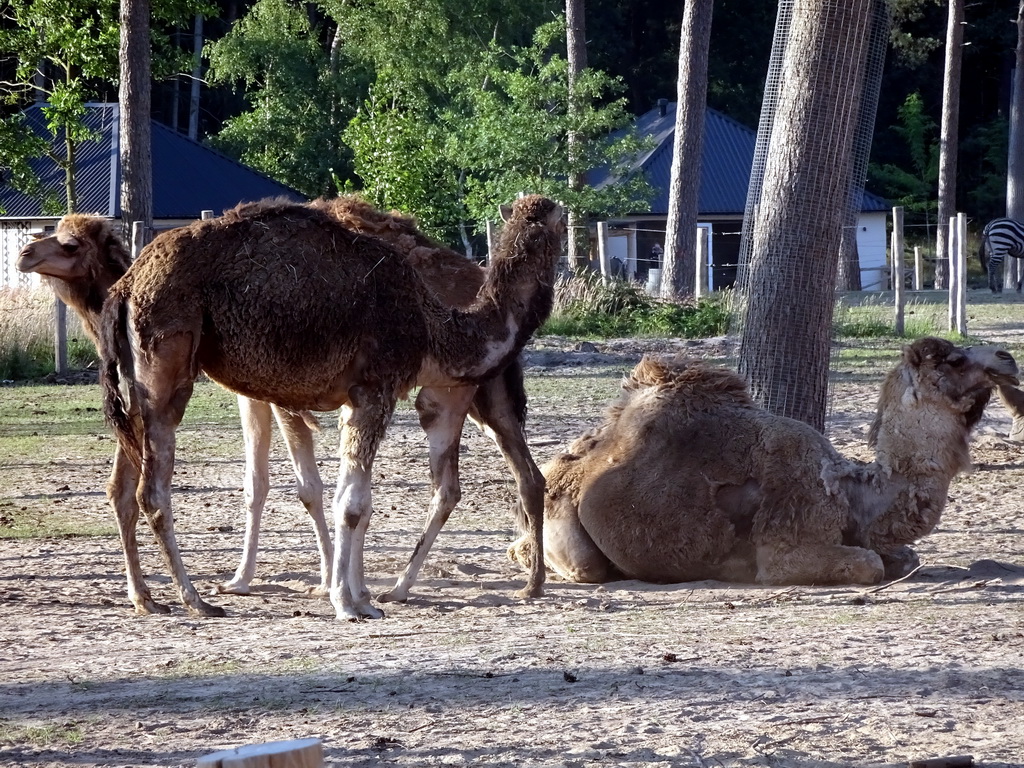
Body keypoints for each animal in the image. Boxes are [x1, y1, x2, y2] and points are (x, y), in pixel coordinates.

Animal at [14, 201, 552, 606]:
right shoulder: (342, 391)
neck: (428, 317)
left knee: (500, 478)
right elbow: (321, 494)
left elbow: (325, 493)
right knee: (150, 489)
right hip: (166, 378)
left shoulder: (312, 396)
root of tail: (128, 287)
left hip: (463, 398)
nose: (24, 253)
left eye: (69, 243)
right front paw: (331, 592)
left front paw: (339, 589)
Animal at [512, 339, 1015, 585]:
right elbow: (870, 564)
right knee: (579, 565)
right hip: (563, 524)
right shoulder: (785, 547)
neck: (847, 491)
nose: (1007, 356)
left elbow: (906, 556)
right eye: (953, 359)